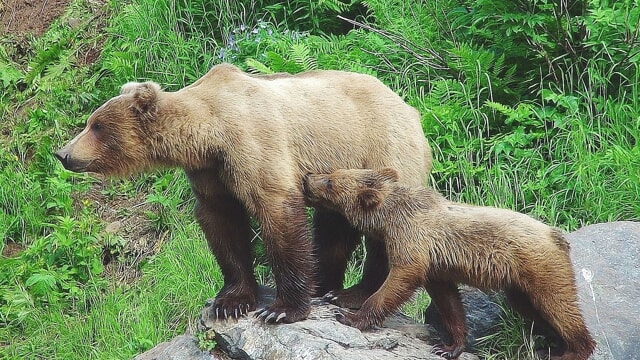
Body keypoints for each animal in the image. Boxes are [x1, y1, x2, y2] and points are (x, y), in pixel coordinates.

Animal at [56, 64, 430, 324]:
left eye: (97, 126)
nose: (63, 153)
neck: (208, 134)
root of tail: (411, 108)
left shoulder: (253, 145)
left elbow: (277, 212)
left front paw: (281, 309)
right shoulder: (210, 172)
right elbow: (223, 224)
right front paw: (230, 302)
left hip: (381, 151)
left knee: (382, 228)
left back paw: (352, 294)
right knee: (333, 227)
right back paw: (326, 286)